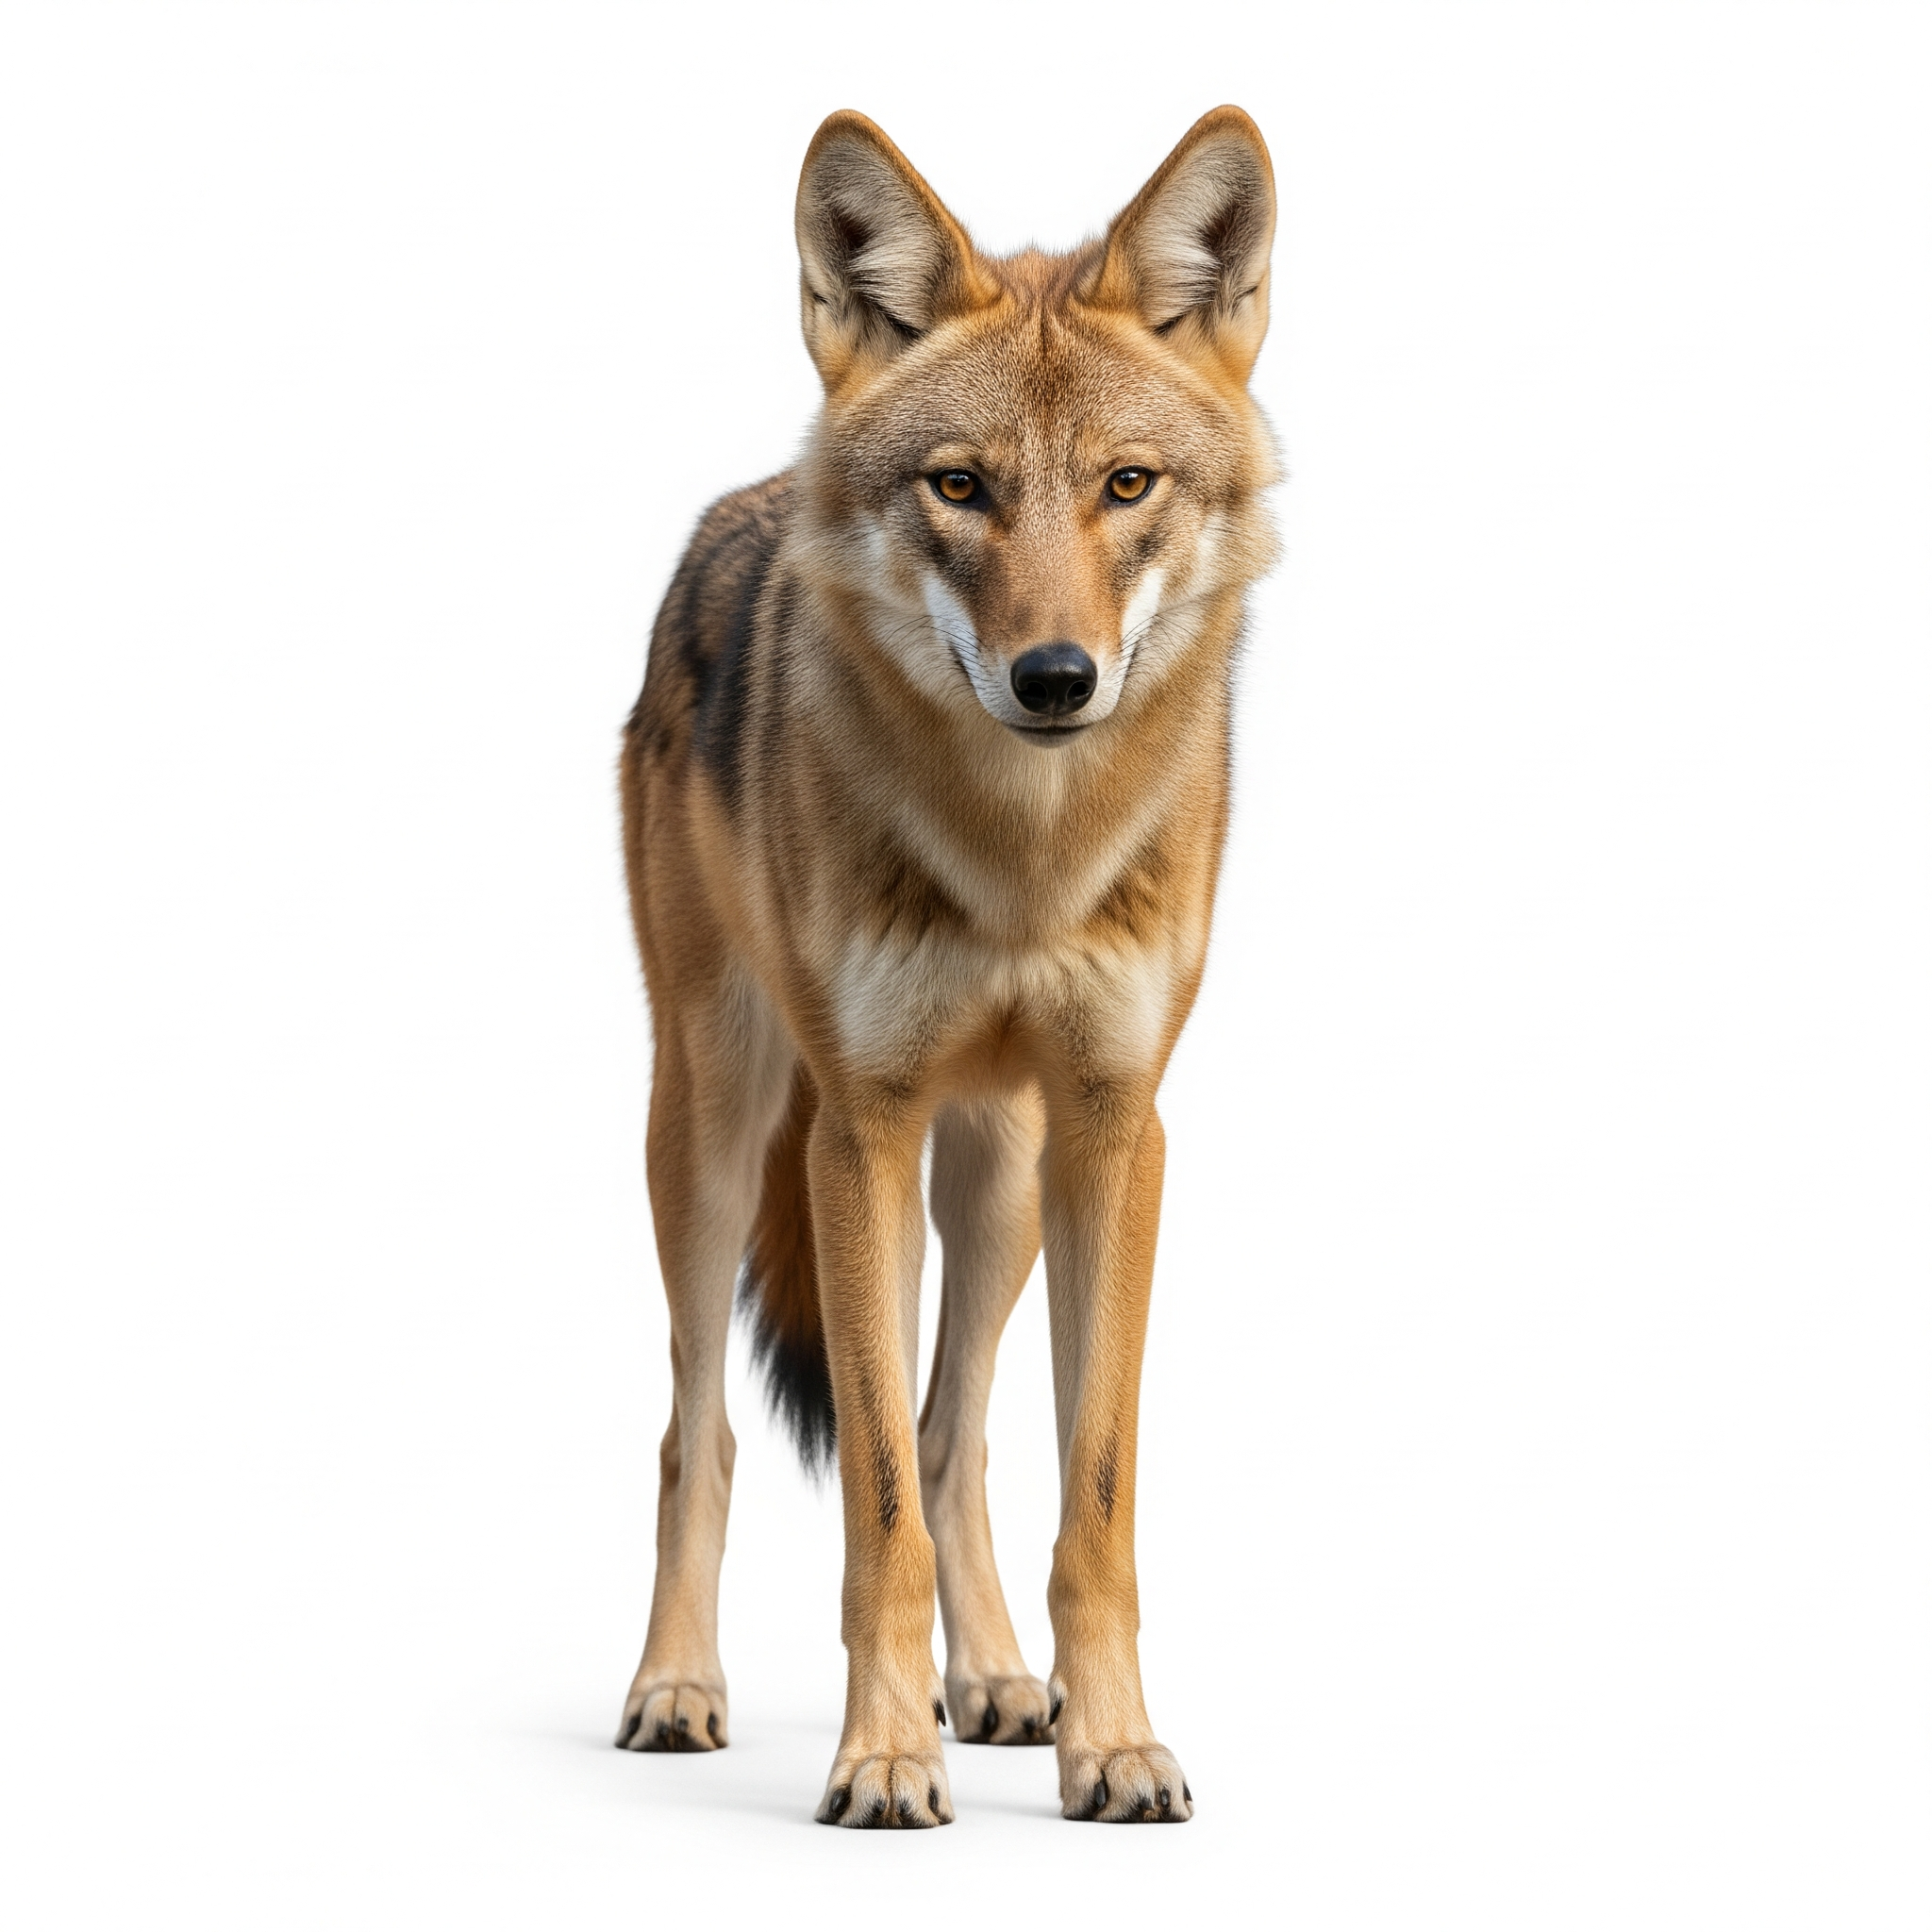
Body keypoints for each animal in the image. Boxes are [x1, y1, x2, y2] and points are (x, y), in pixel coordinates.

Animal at [613, 106, 1278, 1826]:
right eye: (961, 487)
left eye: (1125, 484)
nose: (1055, 676)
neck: (1022, 862)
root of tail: (742, 503)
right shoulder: (861, 1128)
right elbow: (870, 1516)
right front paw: (880, 1758)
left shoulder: (1115, 1128)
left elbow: (1082, 1495)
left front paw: (1111, 1743)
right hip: (715, 1125)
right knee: (703, 1434)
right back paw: (677, 1687)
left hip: (996, 1175)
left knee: (948, 1426)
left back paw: (992, 1684)